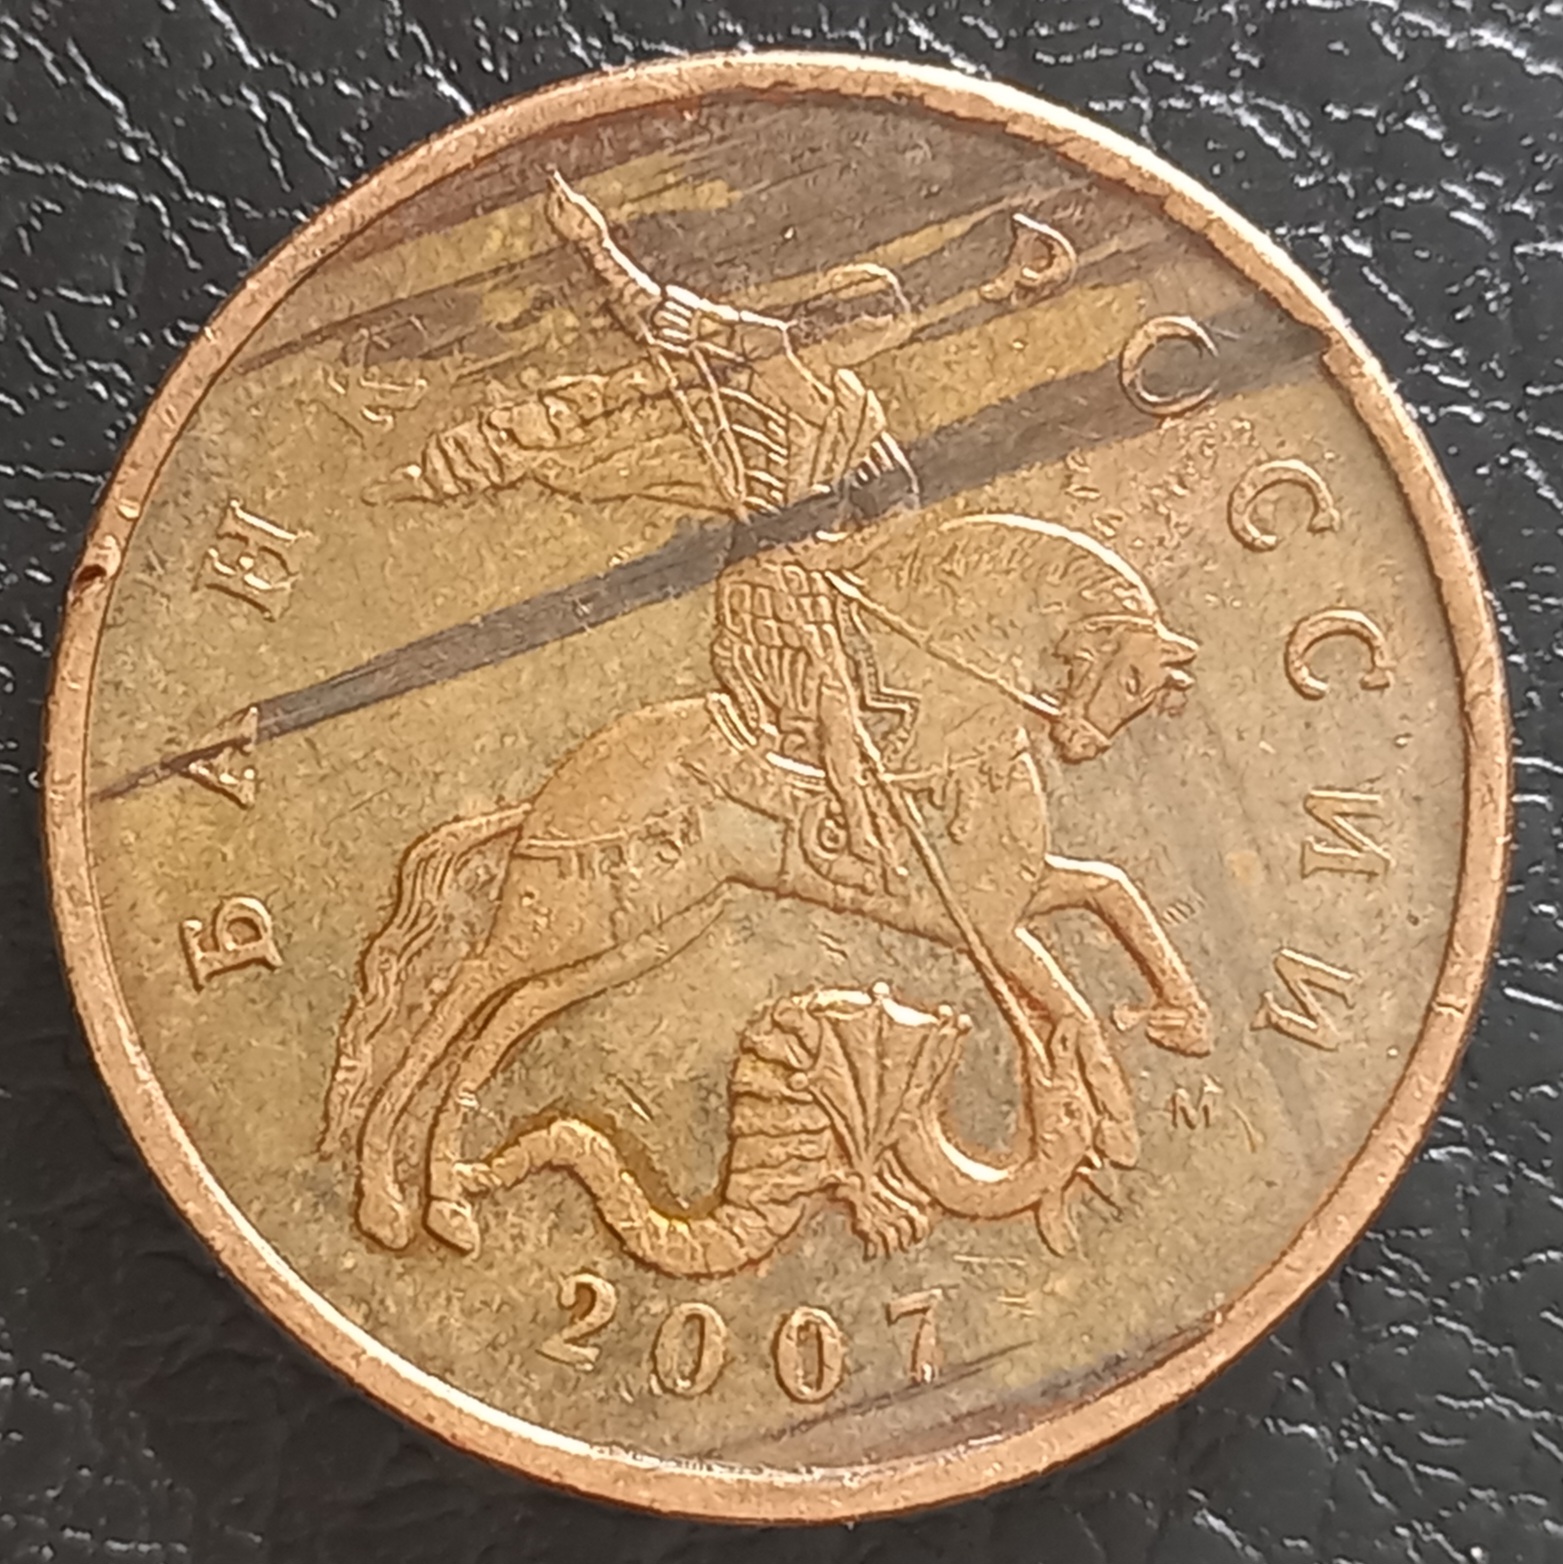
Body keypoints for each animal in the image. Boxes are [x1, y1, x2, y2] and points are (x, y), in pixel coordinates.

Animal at [323, 514, 1211, 1258]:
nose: (1081, 742)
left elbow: (1113, 893)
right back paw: (386, 1200)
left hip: (647, 927)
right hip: (559, 920)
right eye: (1120, 672)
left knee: (513, 1012)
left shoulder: (1016, 899)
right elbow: (1071, 1000)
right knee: (459, 997)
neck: (956, 727)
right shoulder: (990, 926)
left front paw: (1179, 1023)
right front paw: (1113, 1122)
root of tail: (553, 790)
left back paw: (448, 1199)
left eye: (1139, 684)